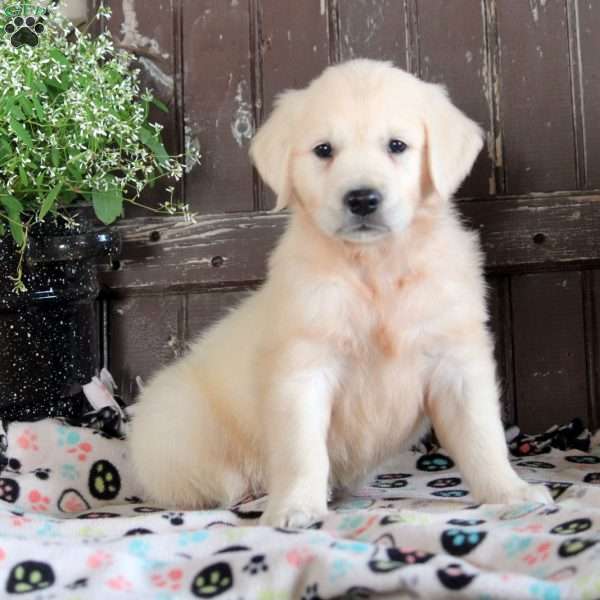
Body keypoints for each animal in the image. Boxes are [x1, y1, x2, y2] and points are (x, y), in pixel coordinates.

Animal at [131, 56, 552, 524]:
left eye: (397, 145)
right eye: (324, 150)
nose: (362, 199)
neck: (375, 267)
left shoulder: (456, 361)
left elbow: (482, 438)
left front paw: (511, 493)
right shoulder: (303, 368)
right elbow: (303, 452)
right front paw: (295, 508)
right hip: (176, 427)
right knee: (221, 482)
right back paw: (256, 495)